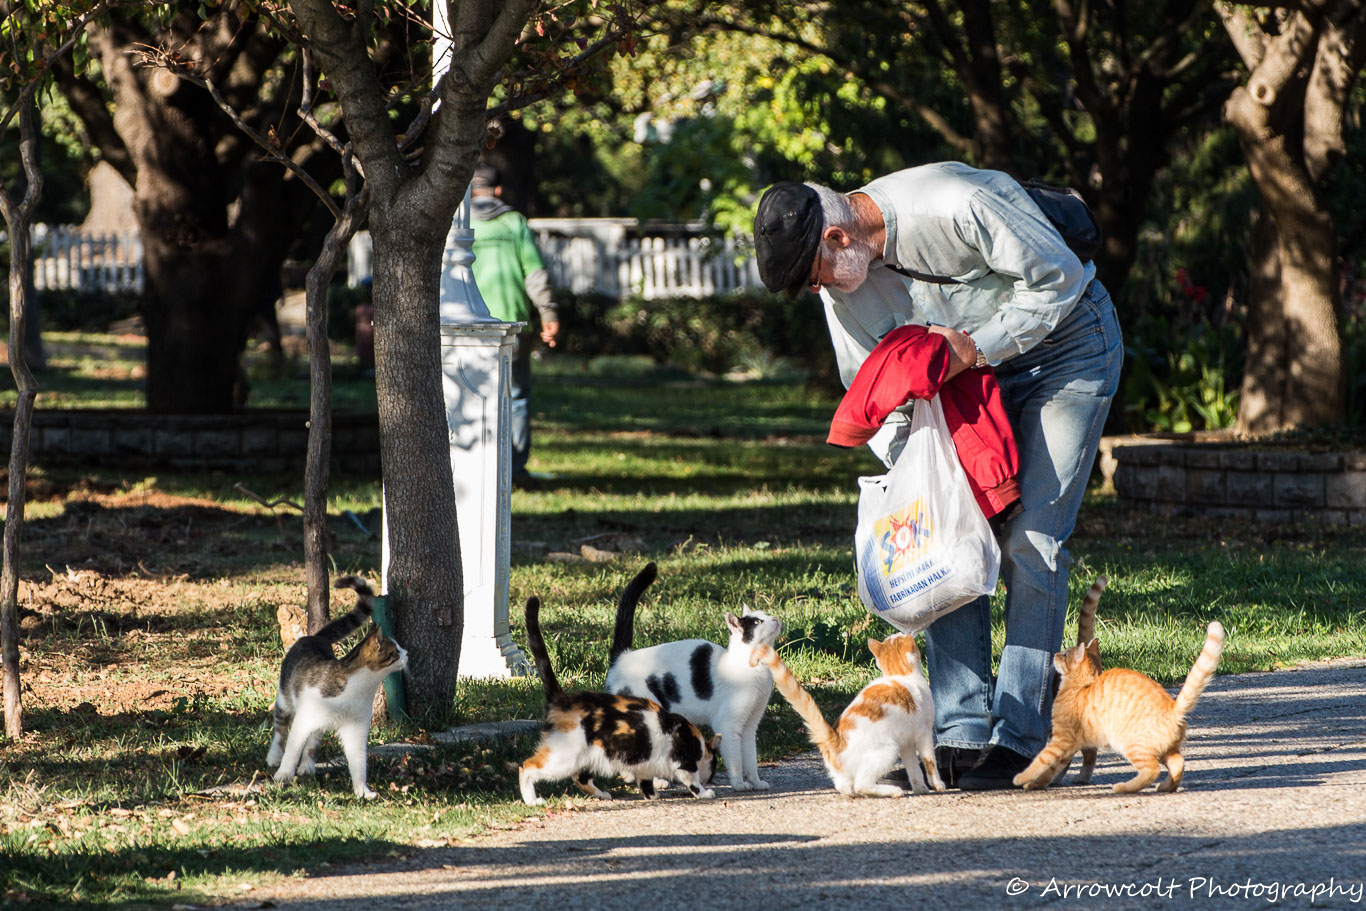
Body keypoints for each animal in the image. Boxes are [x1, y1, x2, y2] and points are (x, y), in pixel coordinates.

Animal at [263, 576, 404, 797]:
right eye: (396, 651)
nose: (407, 653)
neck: (359, 690)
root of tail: (315, 637)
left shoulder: (356, 729)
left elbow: (358, 762)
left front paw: (363, 791)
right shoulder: (303, 720)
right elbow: (292, 750)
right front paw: (283, 774)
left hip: (318, 722)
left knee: (312, 742)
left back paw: (307, 766)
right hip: (285, 700)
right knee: (281, 728)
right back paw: (274, 756)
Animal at [513, 598, 726, 803]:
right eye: (713, 767)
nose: (711, 779)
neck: (698, 742)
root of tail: (563, 699)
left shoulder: (644, 763)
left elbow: (645, 781)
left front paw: (651, 795)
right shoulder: (685, 760)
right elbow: (692, 781)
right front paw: (704, 793)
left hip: (589, 757)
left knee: (580, 778)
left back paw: (602, 794)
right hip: (565, 756)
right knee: (526, 767)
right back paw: (532, 800)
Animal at [606, 562, 786, 792]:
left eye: (766, 614)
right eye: (757, 621)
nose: (775, 618)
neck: (756, 668)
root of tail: (623, 656)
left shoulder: (749, 726)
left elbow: (750, 758)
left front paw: (755, 781)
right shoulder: (728, 724)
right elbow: (735, 759)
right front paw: (739, 783)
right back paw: (643, 779)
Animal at [748, 633, 950, 797]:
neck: (902, 674)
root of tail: (834, 740)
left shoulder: (907, 743)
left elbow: (914, 770)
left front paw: (921, 789)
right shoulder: (924, 733)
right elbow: (929, 762)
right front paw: (938, 785)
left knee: (847, 788)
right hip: (888, 749)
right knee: (862, 783)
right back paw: (892, 791)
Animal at [1016, 617, 1229, 792]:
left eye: (1064, 655)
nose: (1055, 654)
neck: (1080, 687)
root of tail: (1173, 708)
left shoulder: (1061, 740)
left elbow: (1041, 760)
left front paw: (1022, 777)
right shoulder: (1069, 745)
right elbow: (1051, 768)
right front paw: (1036, 783)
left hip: (1132, 745)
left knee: (1152, 771)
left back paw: (1124, 788)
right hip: (1165, 750)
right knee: (1178, 763)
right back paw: (1166, 787)